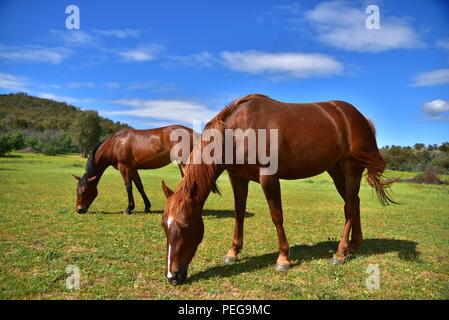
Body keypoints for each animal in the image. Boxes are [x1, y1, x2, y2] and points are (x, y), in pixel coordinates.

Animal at [159, 93, 394, 284]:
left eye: (186, 227)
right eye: (164, 226)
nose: (172, 276)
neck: (239, 132)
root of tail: (359, 117)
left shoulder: (269, 179)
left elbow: (276, 216)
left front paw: (283, 258)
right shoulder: (238, 178)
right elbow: (239, 214)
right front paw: (233, 252)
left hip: (351, 168)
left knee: (349, 206)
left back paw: (341, 252)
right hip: (335, 170)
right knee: (354, 202)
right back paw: (354, 245)